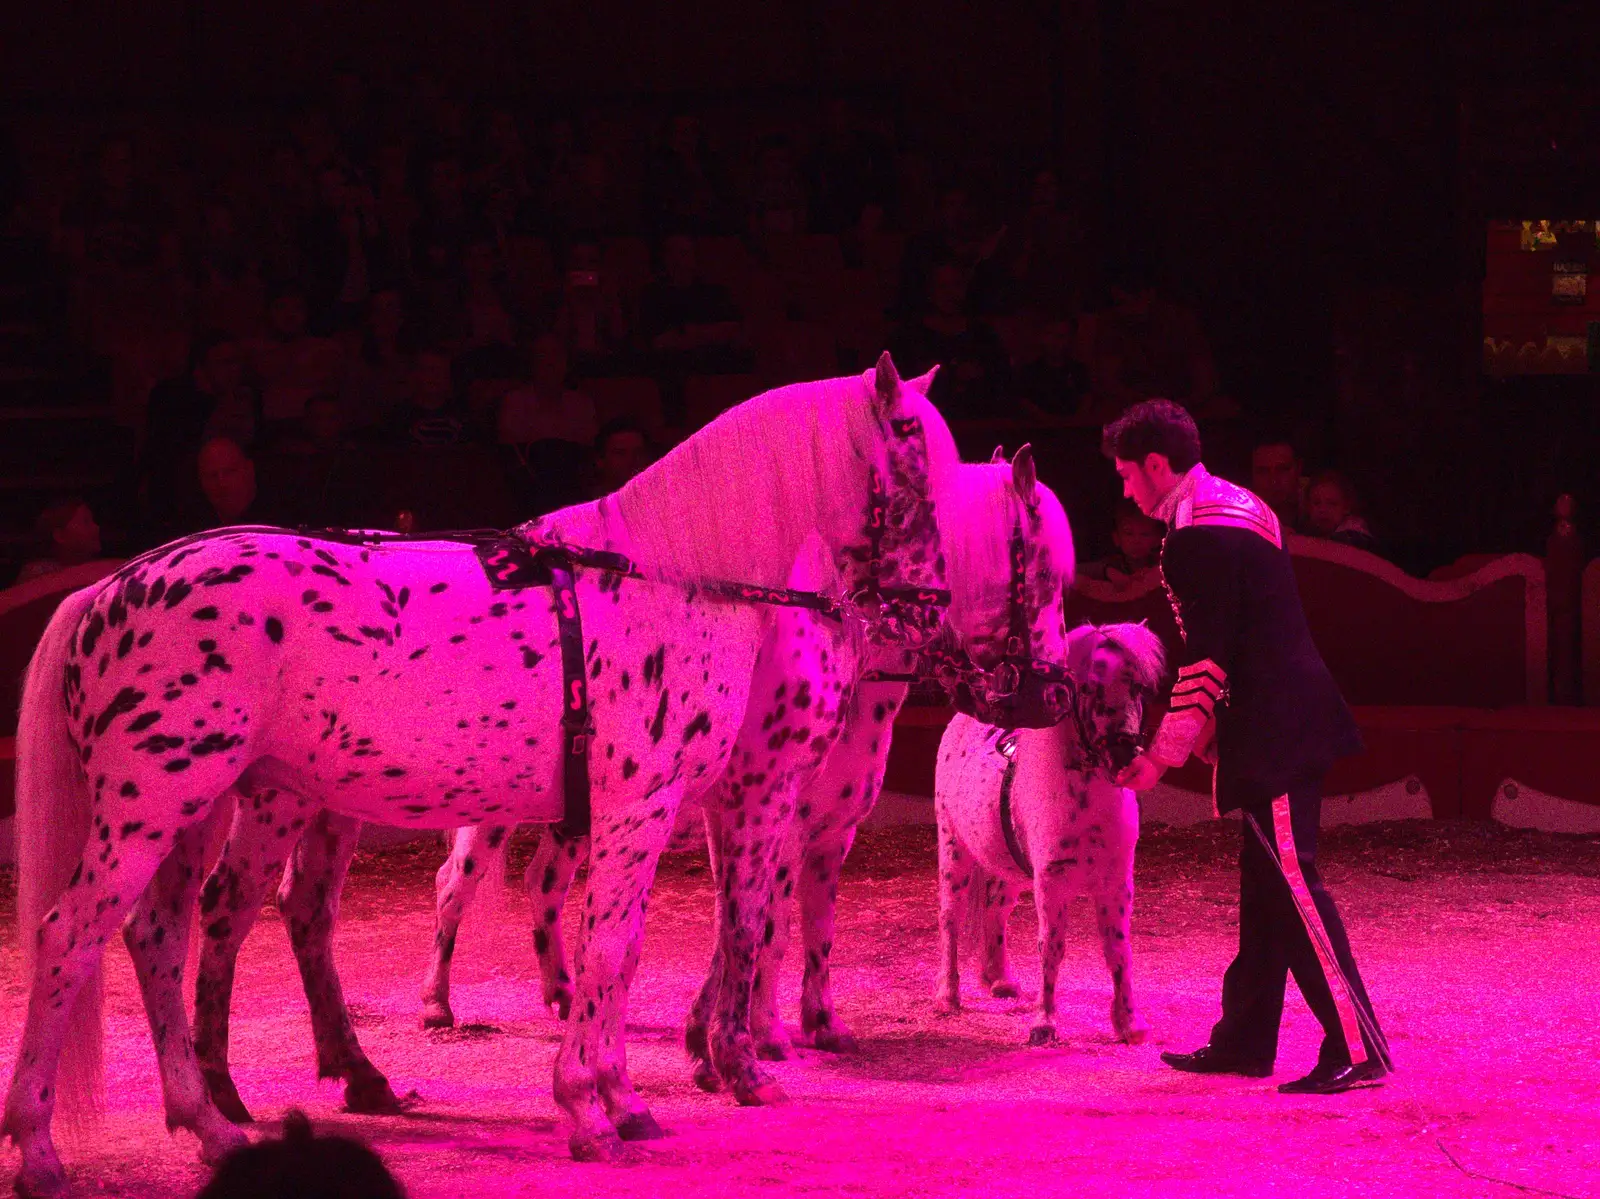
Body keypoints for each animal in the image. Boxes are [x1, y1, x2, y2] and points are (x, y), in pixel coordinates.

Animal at [0, 350, 947, 1190]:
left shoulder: (646, 814)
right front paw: (590, 1110)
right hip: (155, 810)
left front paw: (625, 1098)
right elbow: (615, 949)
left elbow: (623, 953)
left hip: (197, 813)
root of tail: (107, 589)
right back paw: (41, 1146)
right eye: (913, 462)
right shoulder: (649, 804)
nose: (928, 609)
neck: (671, 576)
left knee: (159, 938)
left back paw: (212, 1123)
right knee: (70, 936)